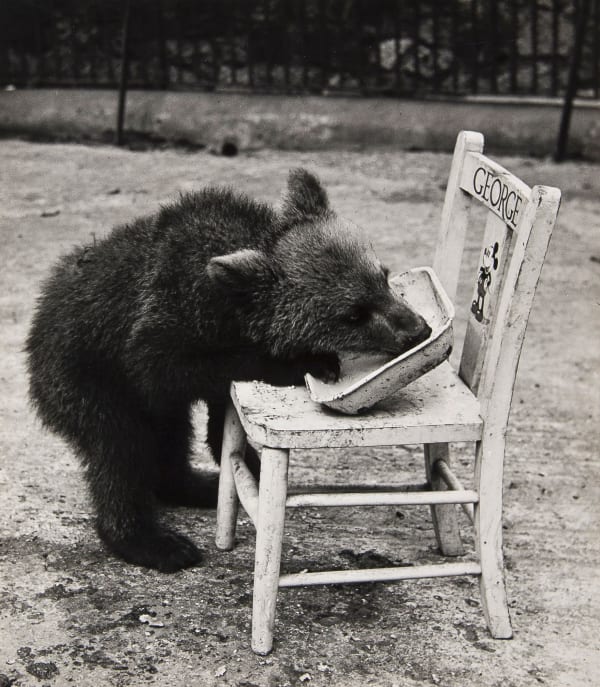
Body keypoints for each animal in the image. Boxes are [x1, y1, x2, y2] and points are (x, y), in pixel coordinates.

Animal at [25, 169, 431, 573]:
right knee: (119, 446)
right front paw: (310, 362)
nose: (417, 329)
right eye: (353, 314)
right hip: (84, 378)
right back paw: (152, 541)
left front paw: (242, 457)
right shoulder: (164, 323)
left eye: (383, 276)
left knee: (170, 435)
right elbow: (168, 366)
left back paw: (197, 485)